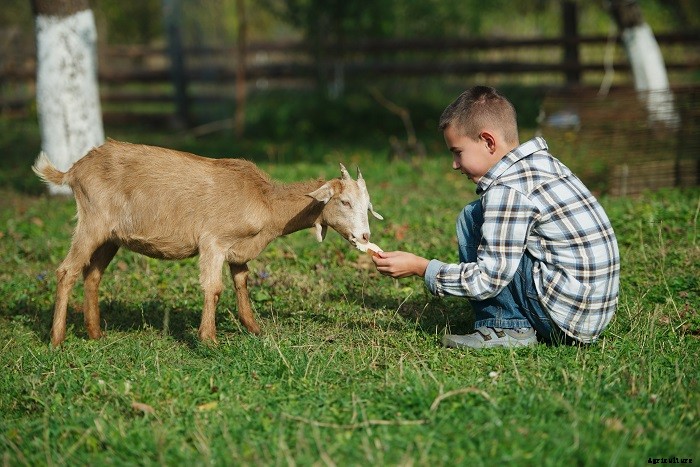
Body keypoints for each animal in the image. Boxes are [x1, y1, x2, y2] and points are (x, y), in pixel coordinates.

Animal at [33, 139, 383, 346]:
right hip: (92, 223)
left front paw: (254, 329)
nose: (365, 237)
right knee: (66, 271)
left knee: (92, 274)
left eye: (366, 205)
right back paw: (57, 339)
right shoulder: (213, 242)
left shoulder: (239, 249)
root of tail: (74, 171)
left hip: (110, 236)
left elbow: (242, 282)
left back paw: (95, 333)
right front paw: (209, 339)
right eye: (344, 203)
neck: (265, 200)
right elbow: (213, 288)